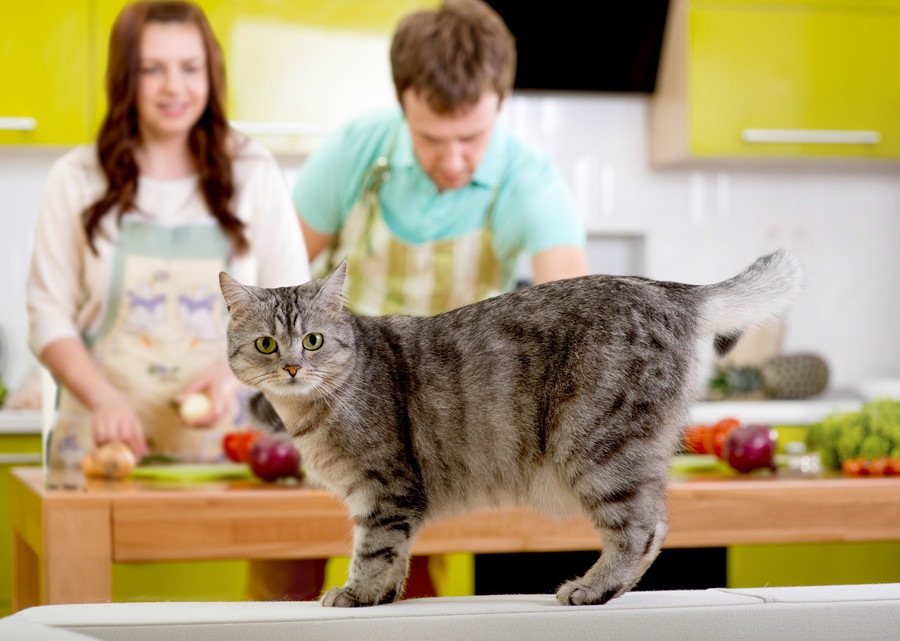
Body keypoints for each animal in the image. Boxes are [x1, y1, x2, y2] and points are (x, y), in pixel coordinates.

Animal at [218, 250, 800, 604]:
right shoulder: (390, 500)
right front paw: (380, 595)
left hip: (596, 447)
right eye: (266, 344)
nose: (292, 367)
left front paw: (357, 594)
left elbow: (373, 550)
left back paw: (592, 588)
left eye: (311, 340)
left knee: (642, 529)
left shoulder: (384, 489)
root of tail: (673, 291)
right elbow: (396, 557)